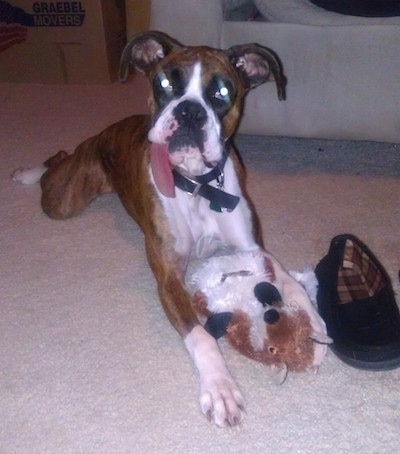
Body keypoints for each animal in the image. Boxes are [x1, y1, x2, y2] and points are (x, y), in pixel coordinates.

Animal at [14, 31, 330, 426]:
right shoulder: (169, 277)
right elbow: (202, 336)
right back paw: (27, 172)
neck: (197, 184)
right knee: (56, 163)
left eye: (222, 92)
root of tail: (104, 133)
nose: (189, 111)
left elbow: (286, 278)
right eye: (164, 84)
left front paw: (311, 321)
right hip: (64, 198)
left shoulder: (253, 249)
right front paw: (220, 388)